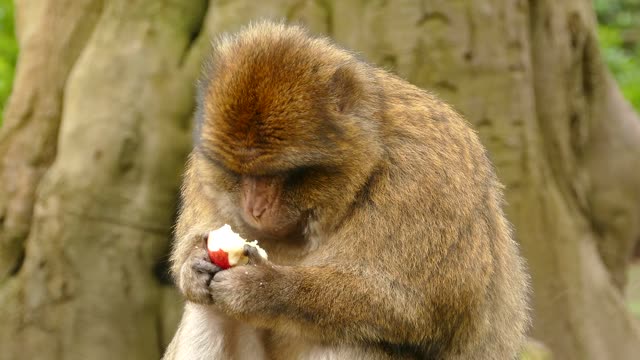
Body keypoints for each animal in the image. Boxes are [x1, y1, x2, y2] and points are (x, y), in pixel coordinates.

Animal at [164, 20, 528, 360]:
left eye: (281, 174)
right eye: (238, 173)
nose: (254, 209)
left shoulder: (426, 176)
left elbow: (418, 309)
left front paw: (263, 288)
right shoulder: (202, 172)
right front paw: (193, 265)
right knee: (207, 308)